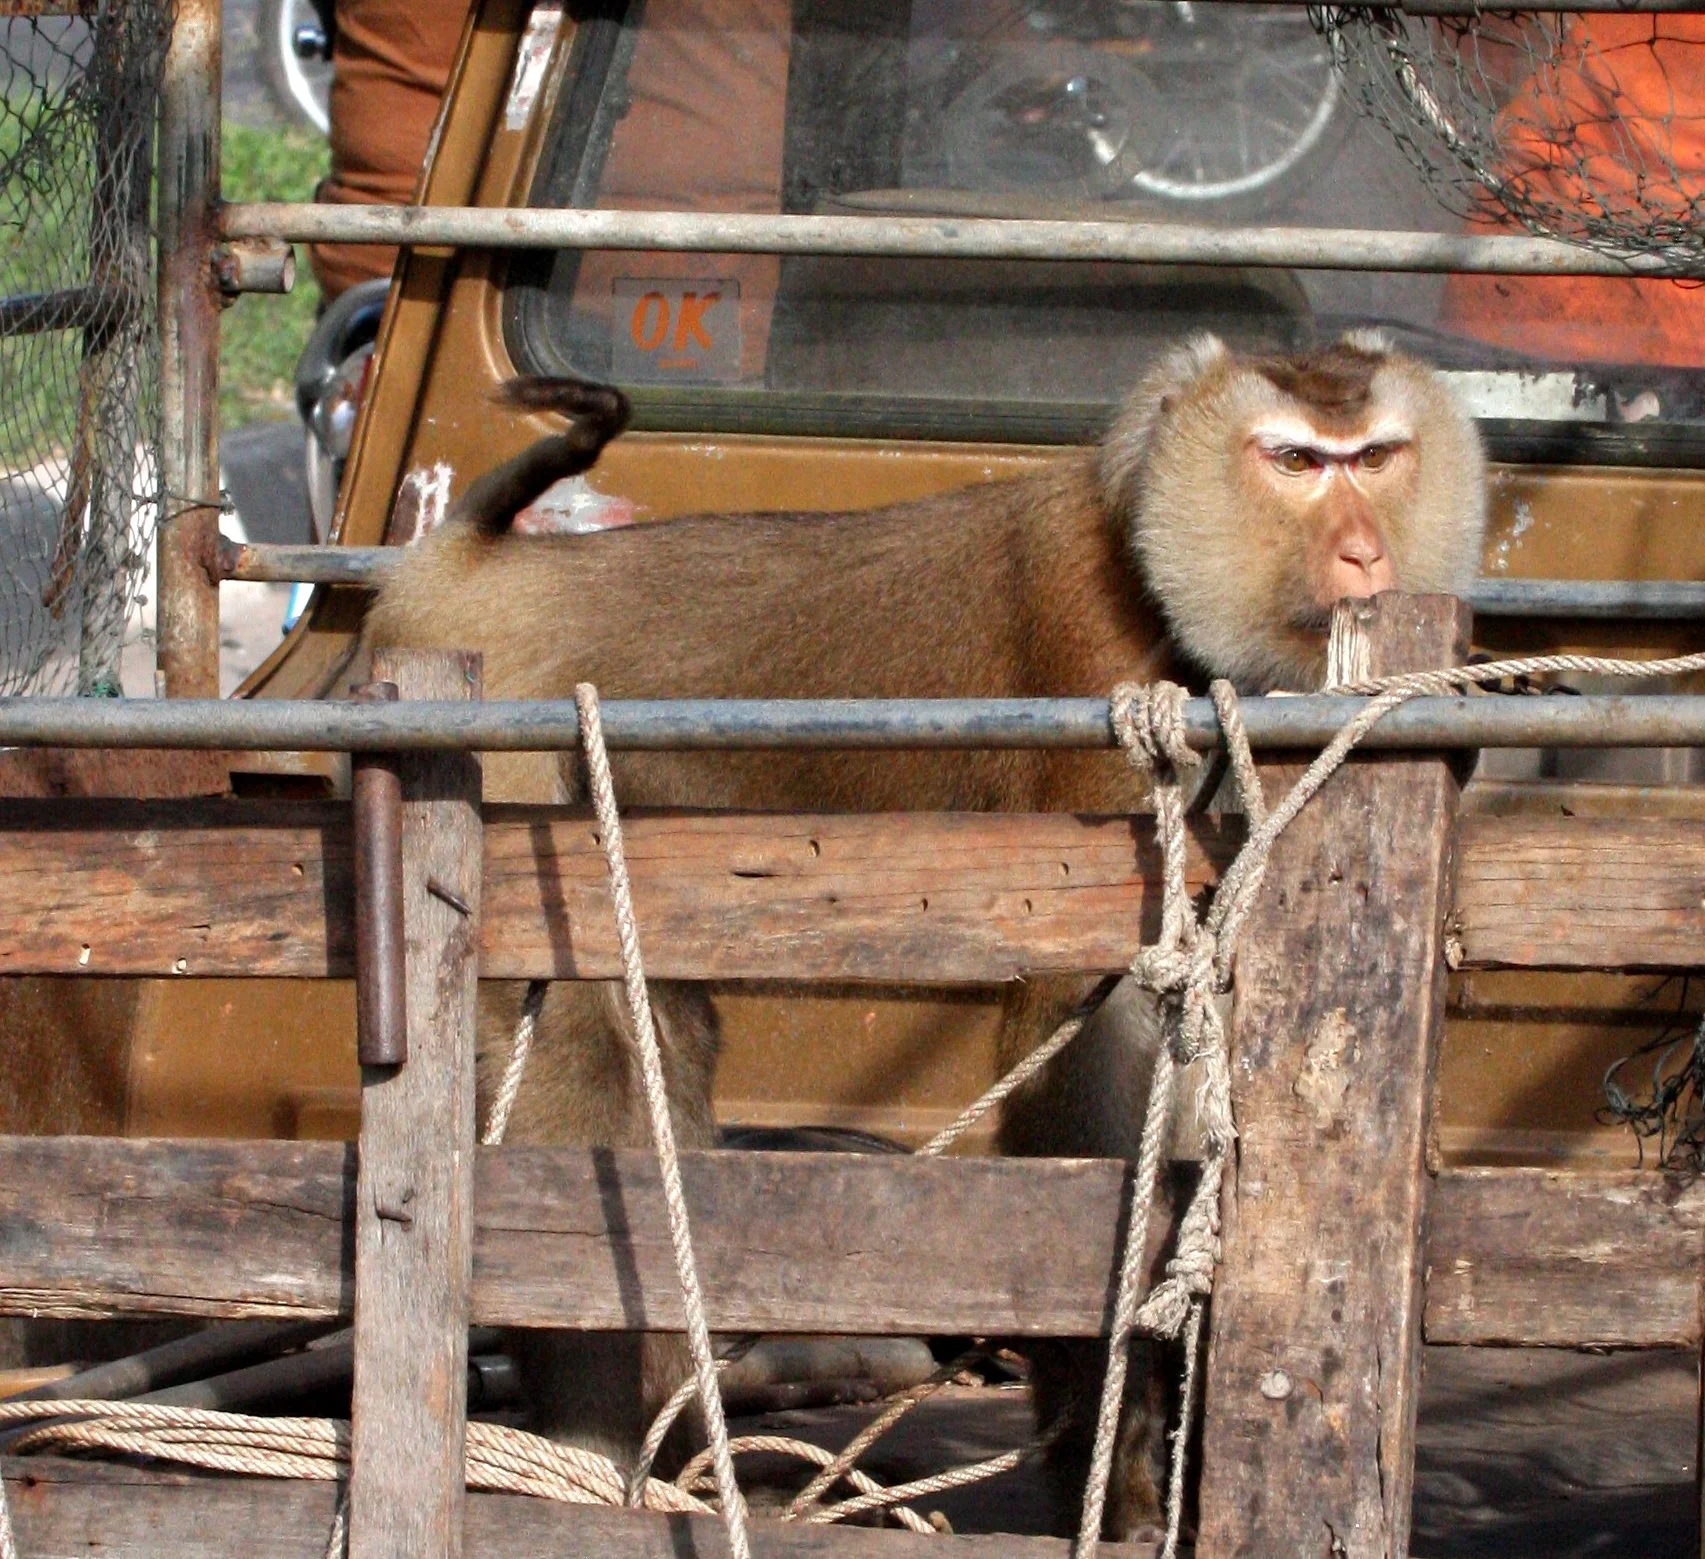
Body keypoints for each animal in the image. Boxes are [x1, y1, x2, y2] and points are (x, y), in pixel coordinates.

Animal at [361, 330, 1487, 1537]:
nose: (1365, 553)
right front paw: (1113, 1465)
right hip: (510, 774)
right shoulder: (1099, 688)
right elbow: (1078, 1044)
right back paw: (604, 1448)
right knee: (581, 1066)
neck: (1147, 556)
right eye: (1293, 460)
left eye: (1375, 454)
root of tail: (459, 570)